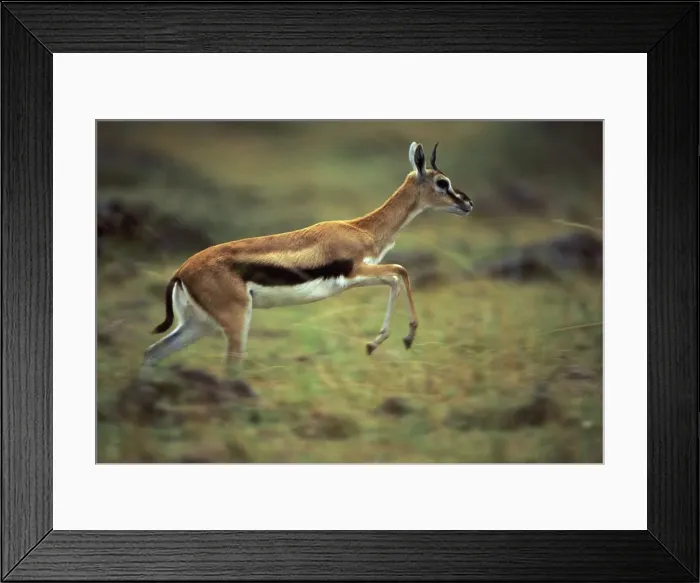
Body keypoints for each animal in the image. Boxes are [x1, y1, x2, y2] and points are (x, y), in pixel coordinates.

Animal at [142, 141, 473, 379]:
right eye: (443, 182)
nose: (468, 203)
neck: (360, 229)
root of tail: (181, 270)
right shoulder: (356, 272)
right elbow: (399, 272)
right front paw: (398, 339)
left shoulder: (356, 278)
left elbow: (395, 277)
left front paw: (377, 343)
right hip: (235, 321)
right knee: (230, 367)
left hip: (198, 325)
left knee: (151, 353)